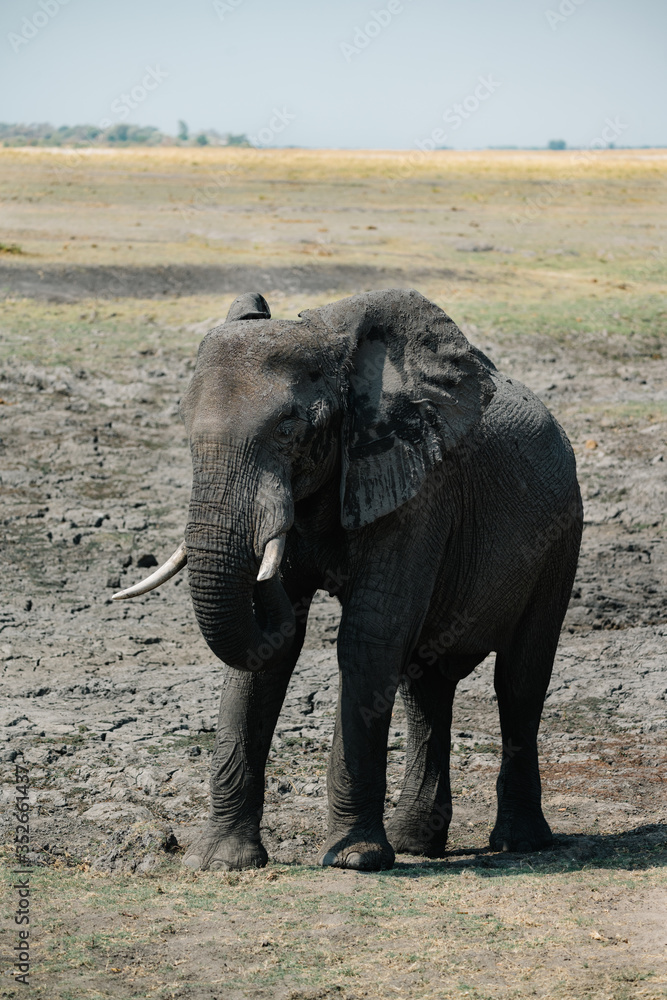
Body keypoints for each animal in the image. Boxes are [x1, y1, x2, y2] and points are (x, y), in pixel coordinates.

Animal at [113, 287, 582, 872]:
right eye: (183, 425)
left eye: (289, 429)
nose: (266, 548)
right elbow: (269, 653)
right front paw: (219, 862)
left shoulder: (419, 488)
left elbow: (367, 637)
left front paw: (353, 859)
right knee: (425, 687)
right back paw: (415, 843)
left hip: (560, 539)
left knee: (519, 680)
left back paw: (519, 842)